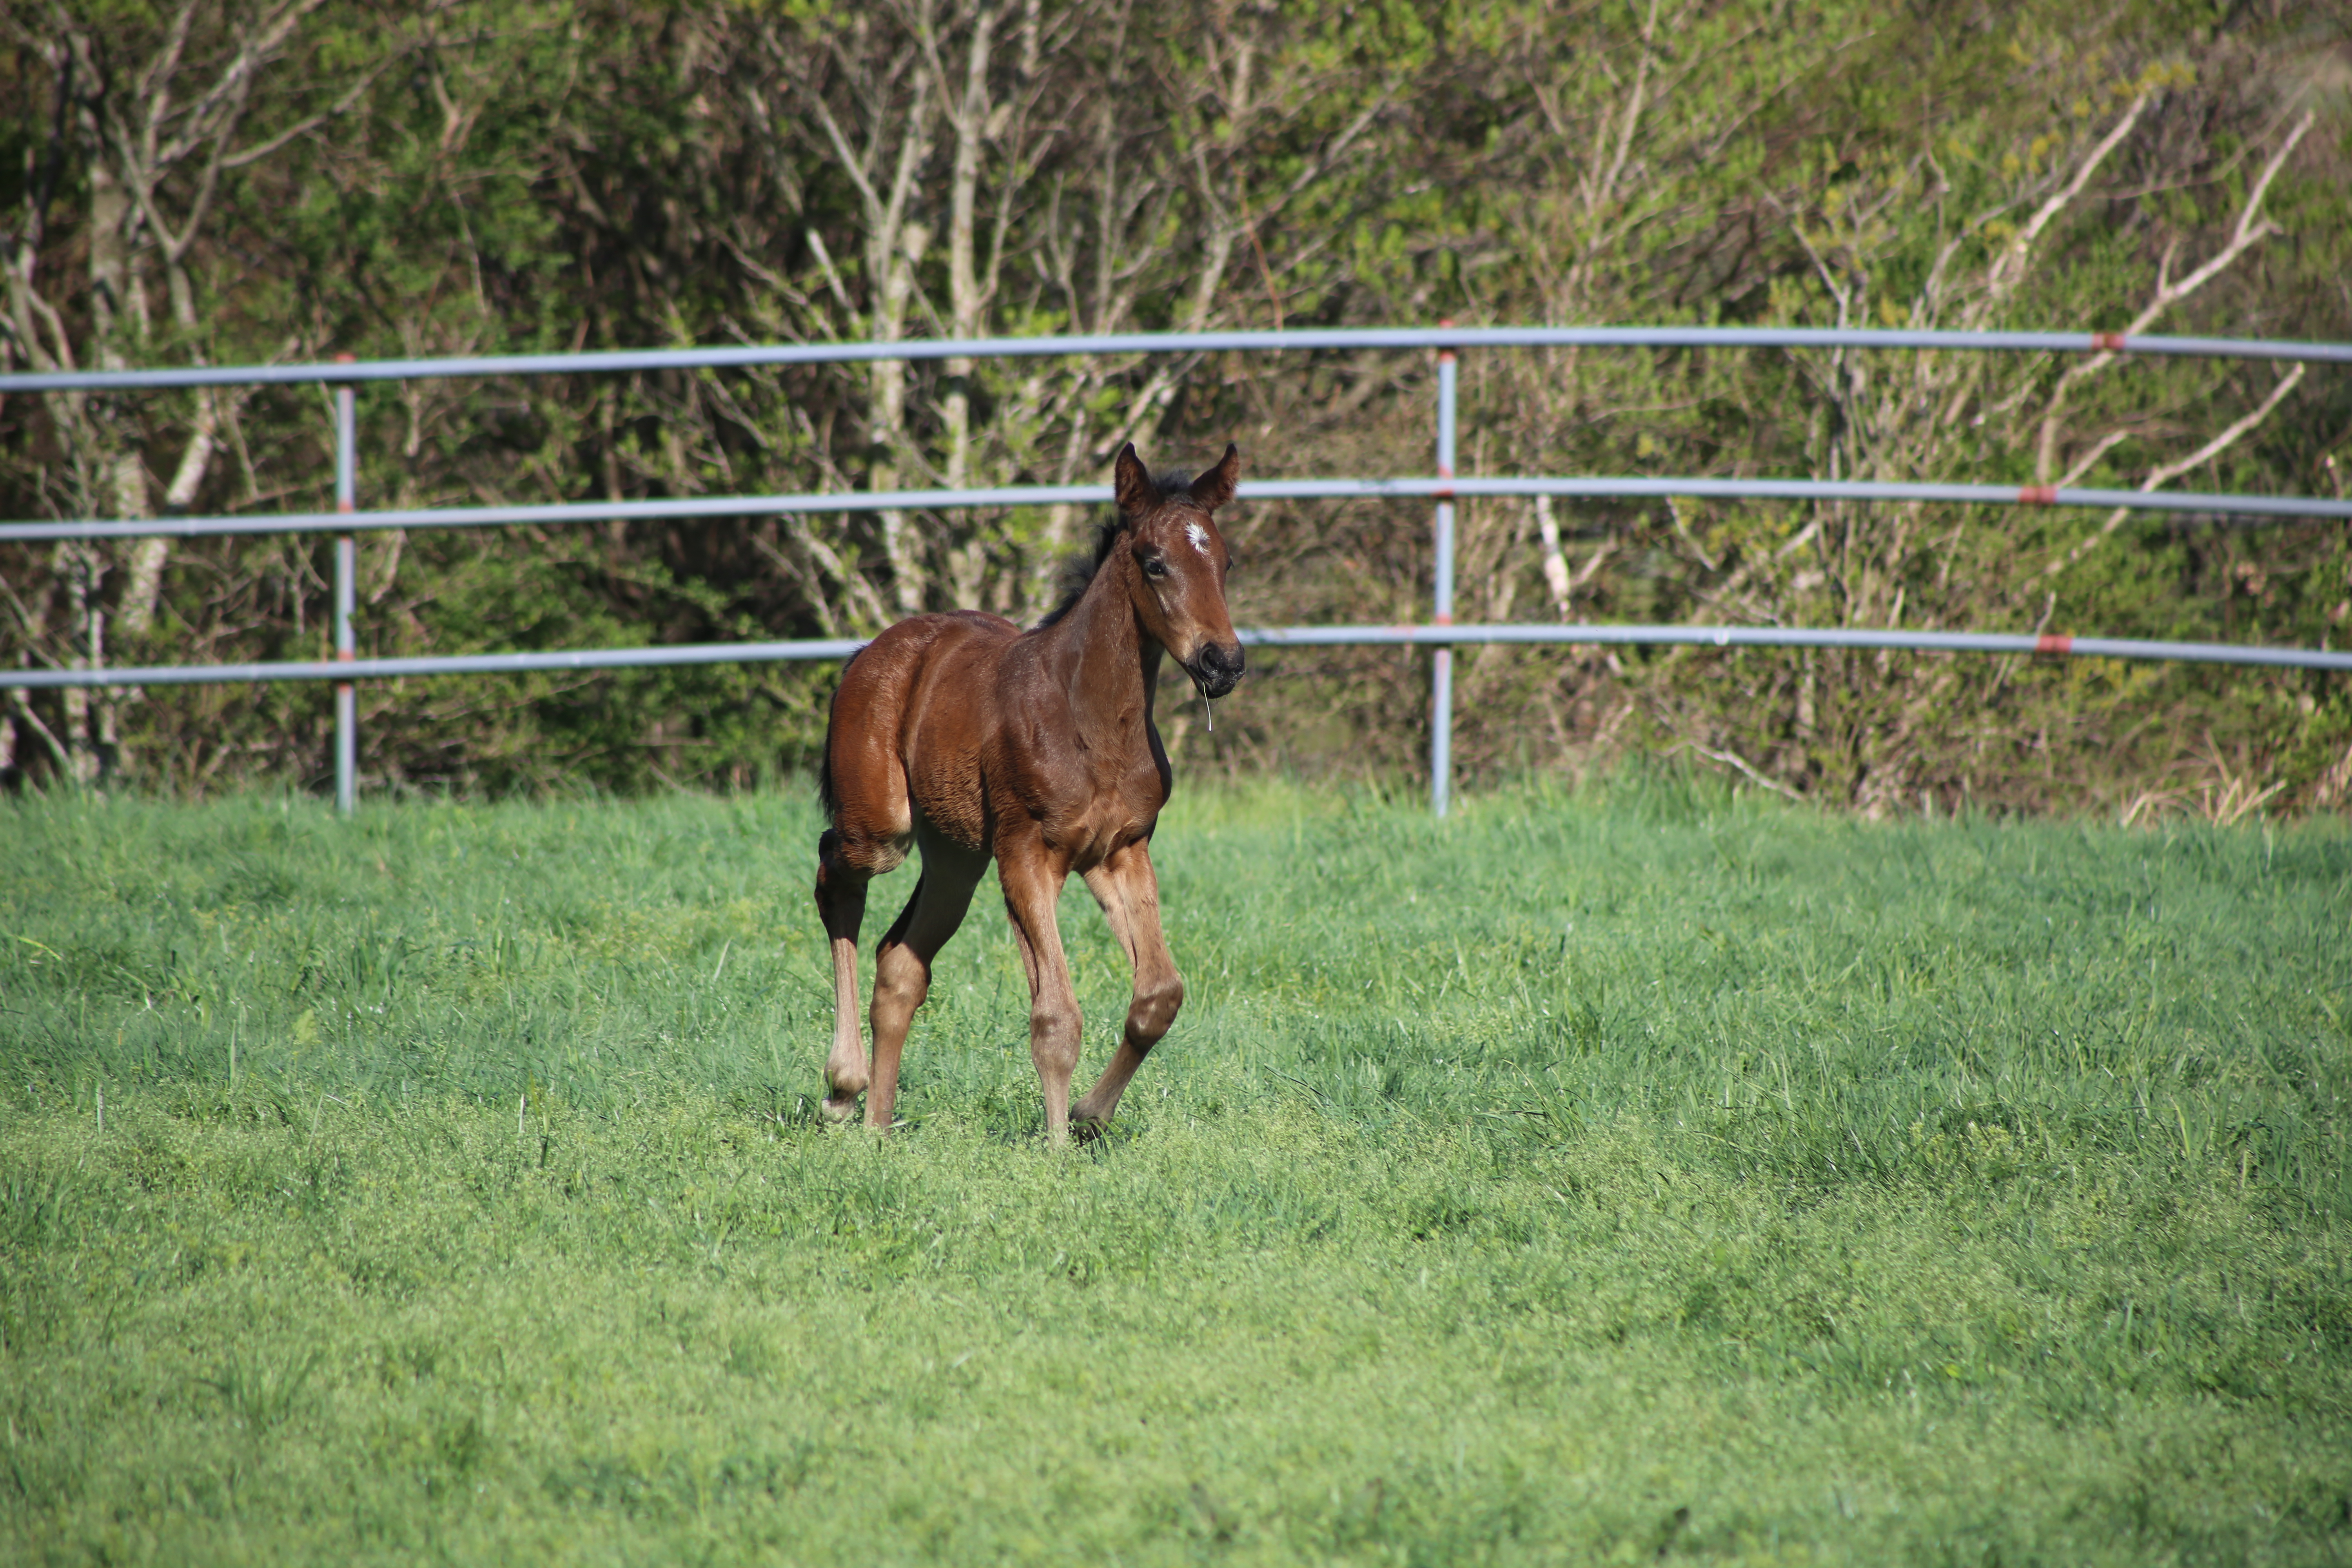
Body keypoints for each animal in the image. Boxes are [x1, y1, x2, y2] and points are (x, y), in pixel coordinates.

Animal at [813, 442, 1251, 1142]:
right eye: (1155, 563)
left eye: (1225, 560)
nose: (1223, 662)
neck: (1092, 723)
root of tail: (869, 652)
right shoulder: (1027, 856)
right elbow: (1056, 1016)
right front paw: (1055, 1149)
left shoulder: (1121, 851)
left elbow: (1158, 997)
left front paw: (1089, 1117)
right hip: (881, 828)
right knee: (835, 877)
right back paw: (841, 1087)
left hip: (956, 859)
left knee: (901, 964)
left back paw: (877, 1123)